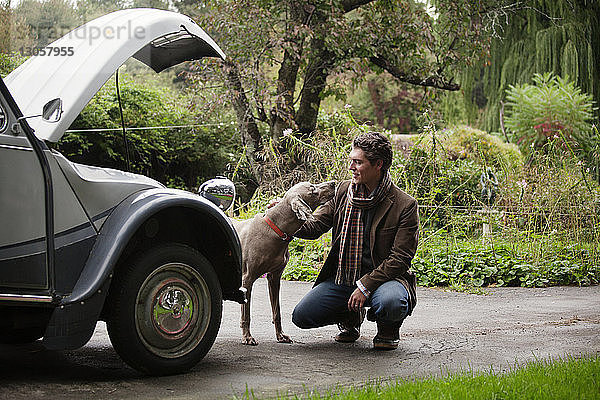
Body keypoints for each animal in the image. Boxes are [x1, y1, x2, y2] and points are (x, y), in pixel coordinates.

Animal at [231, 180, 336, 344]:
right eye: (312, 189)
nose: (334, 183)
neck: (276, 230)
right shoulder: (247, 279)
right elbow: (246, 314)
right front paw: (247, 337)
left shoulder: (274, 277)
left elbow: (277, 311)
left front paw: (280, 335)